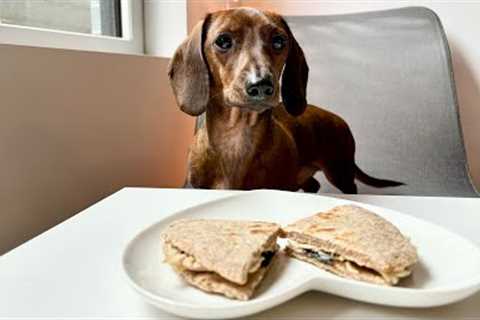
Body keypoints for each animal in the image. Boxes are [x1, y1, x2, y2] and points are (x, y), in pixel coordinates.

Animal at [168, 6, 402, 192]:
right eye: (223, 41)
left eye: (279, 41)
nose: (261, 85)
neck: (237, 140)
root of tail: (338, 119)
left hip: (340, 171)